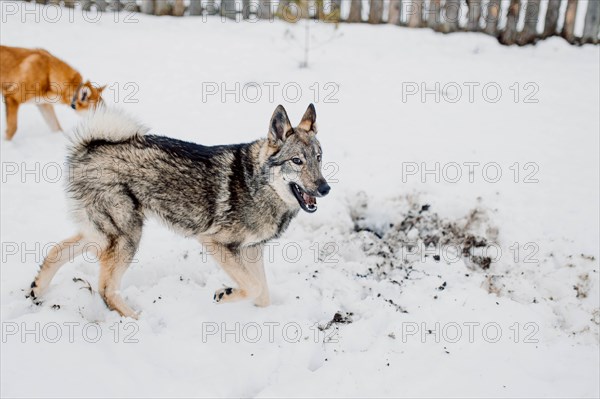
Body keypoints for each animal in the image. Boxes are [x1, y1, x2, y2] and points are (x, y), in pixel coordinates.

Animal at [30, 105, 330, 318]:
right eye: (296, 161)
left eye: (318, 158)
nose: (325, 188)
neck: (258, 182)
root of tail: (90, 147)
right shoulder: (215, 242)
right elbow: (254, 286)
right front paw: (225, 293)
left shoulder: (251, 249)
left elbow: (263, 294)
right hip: (127, 236)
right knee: (106, 289)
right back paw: (136, 321)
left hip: (103, 235)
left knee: (56, 252)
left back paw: (37, 290)